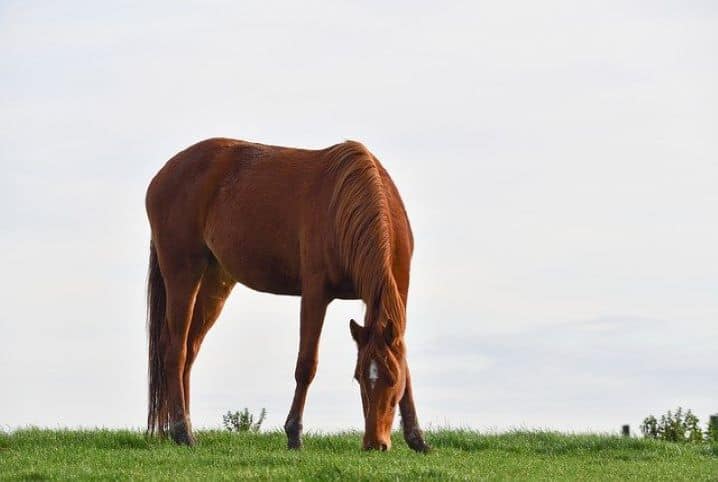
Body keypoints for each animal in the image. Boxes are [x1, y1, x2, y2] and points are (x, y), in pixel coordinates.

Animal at [145, 137, 428, 452]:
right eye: (358, 378)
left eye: (391, 379)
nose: (374, 443)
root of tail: (164, 174)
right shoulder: (315, 294)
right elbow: (306, 364)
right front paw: (294, 433)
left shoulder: (397, 294)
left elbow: (405, 364)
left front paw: (416, 437)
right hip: (183, 273)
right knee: (175, 350)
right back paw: (182, 431)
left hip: (214, 280)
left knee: (190, 349)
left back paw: (182, 428)